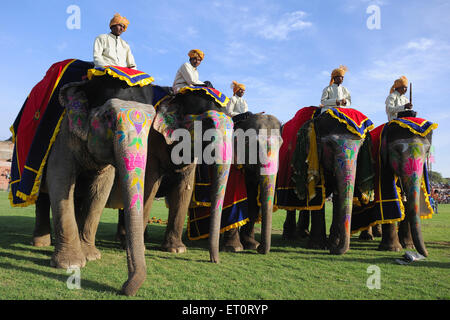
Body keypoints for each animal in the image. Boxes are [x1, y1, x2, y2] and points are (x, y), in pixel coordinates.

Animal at [276, 107, 374, 255]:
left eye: (361, 145)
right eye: (330, 145)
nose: (334, 251)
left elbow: (338, 195)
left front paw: (332, 244)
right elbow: (318, 194)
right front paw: (318, 246)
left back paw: (303, 234)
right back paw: (289, 236)